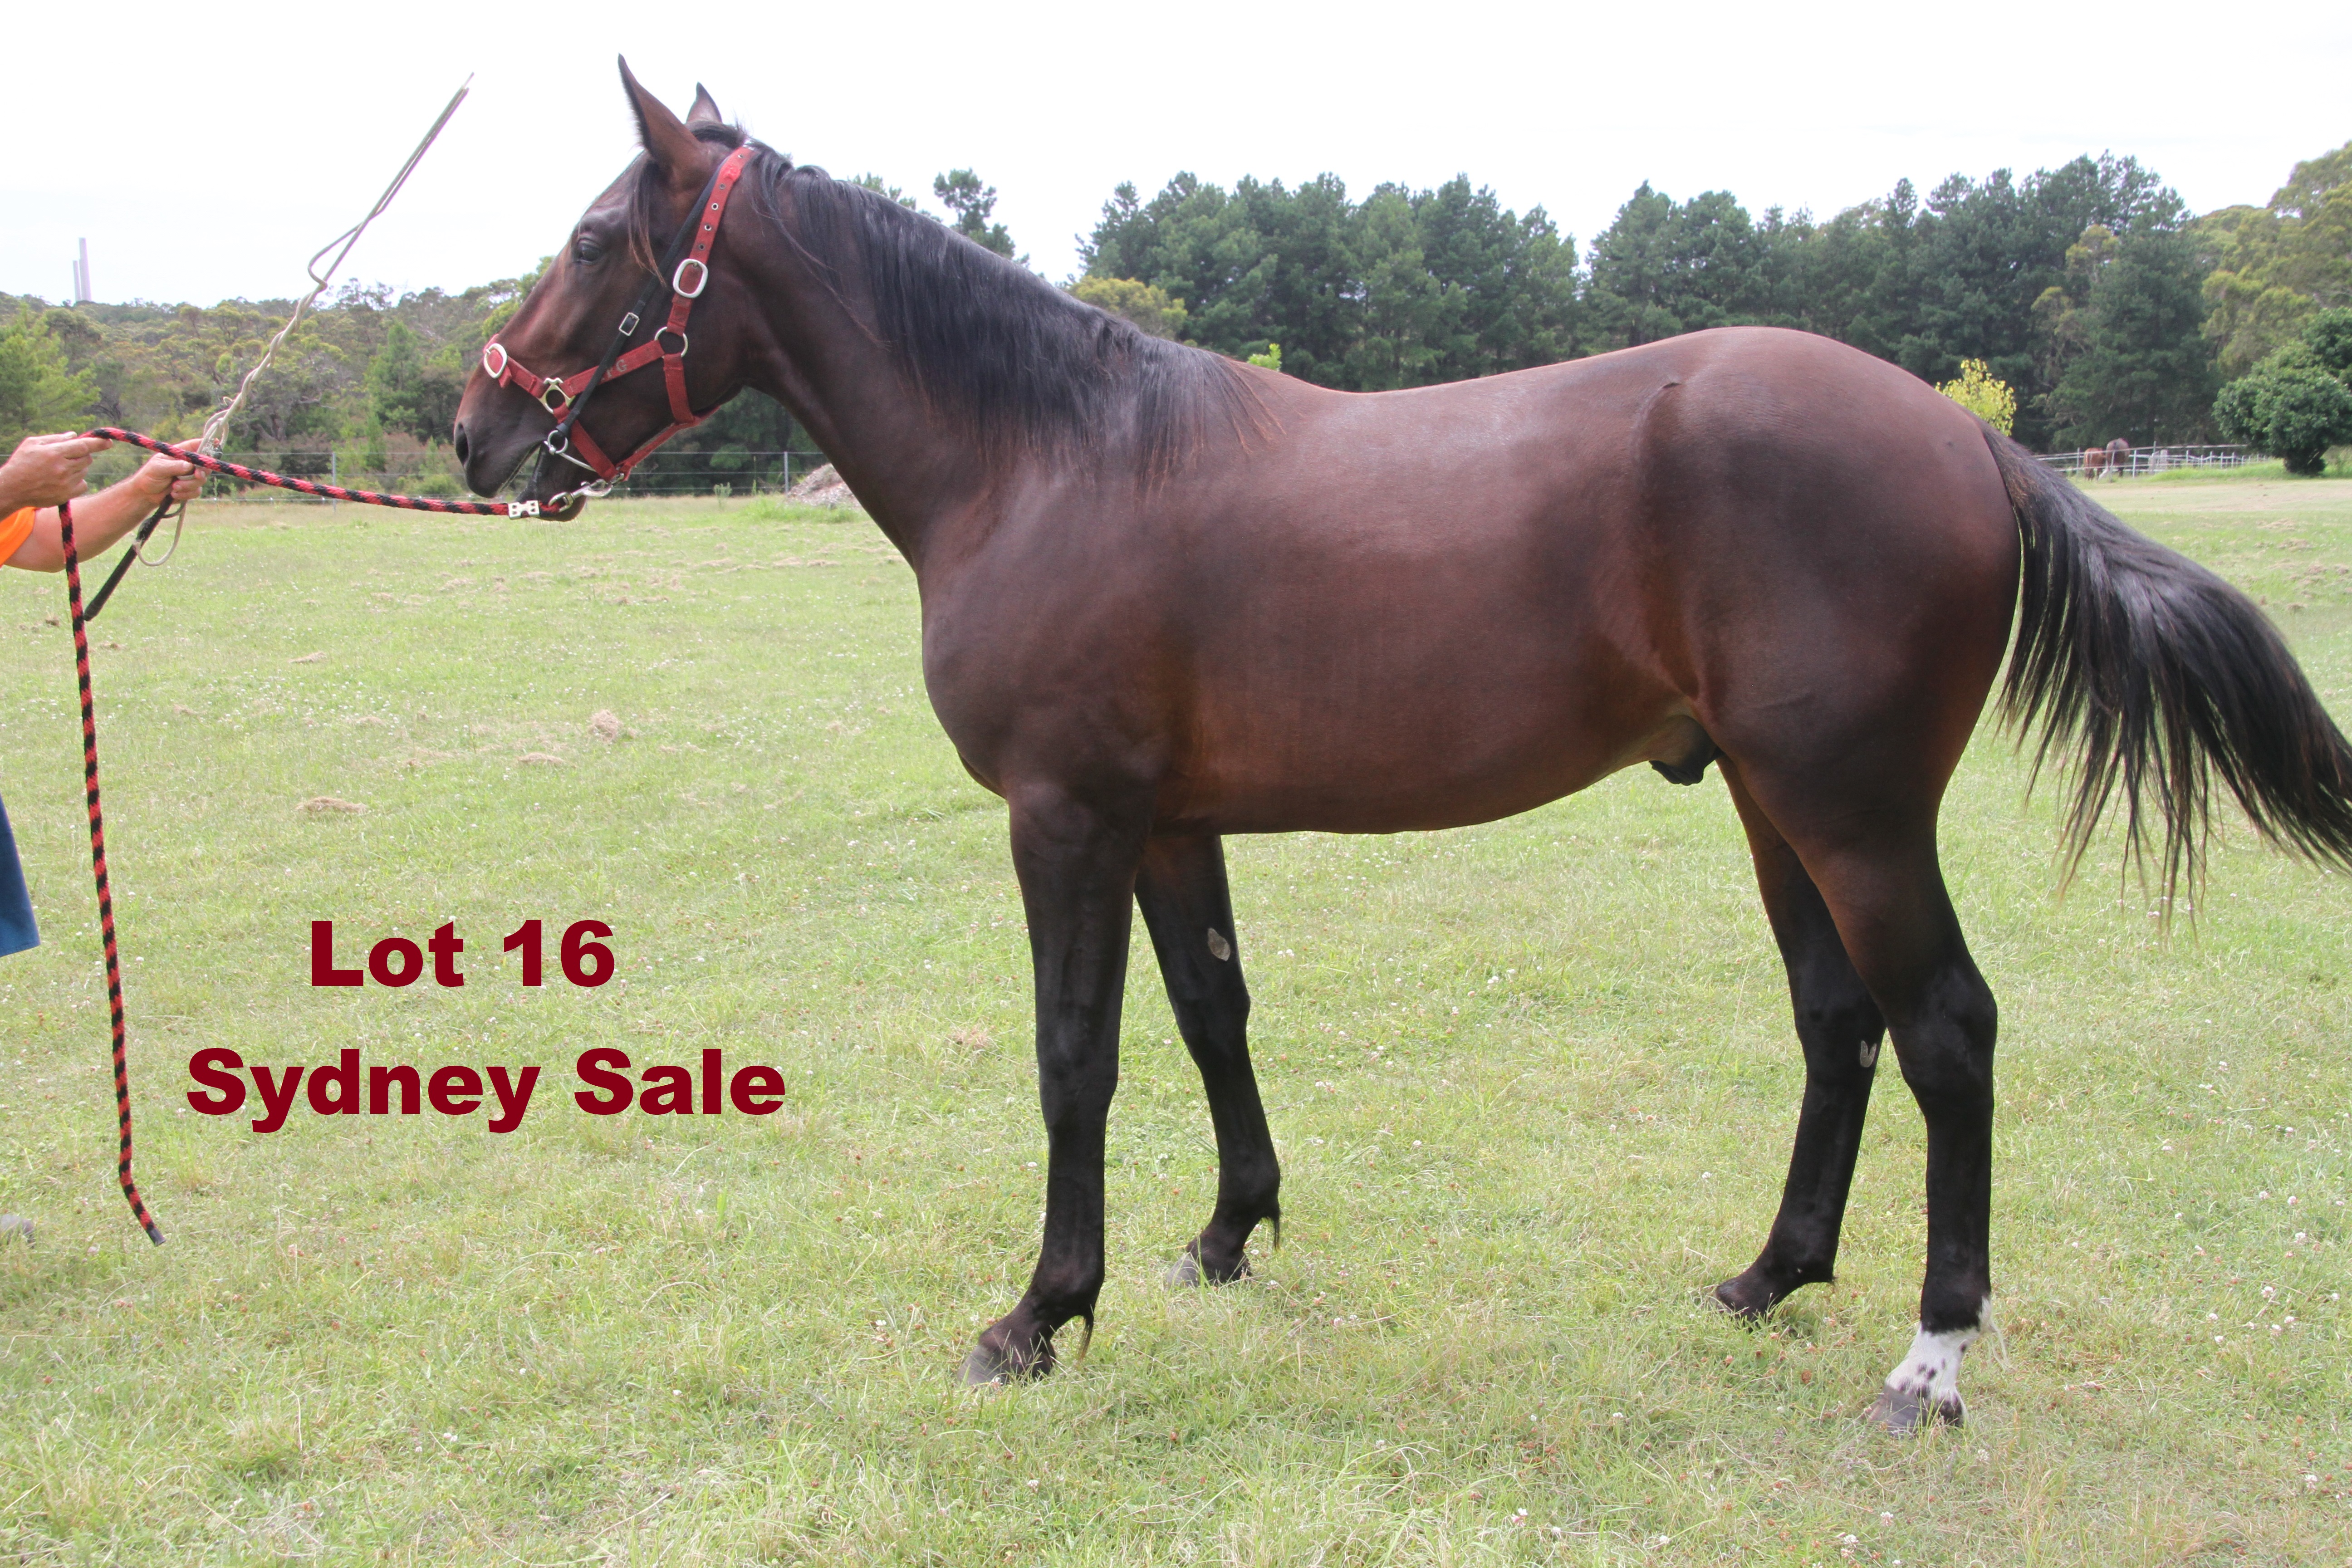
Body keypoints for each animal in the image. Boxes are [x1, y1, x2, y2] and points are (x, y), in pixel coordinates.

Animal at [452, 65, 2352, 1431]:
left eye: (592, 242)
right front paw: (1227, 1235)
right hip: (1772, 805)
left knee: (1947, 1031)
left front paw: (1040, 1313)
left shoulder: (1065, 819)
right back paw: (1767, 1277)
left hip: (1855, 812)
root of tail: (1969, 441)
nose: (475, 429)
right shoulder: (1165, 823)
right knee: (1841, 1024)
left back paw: (1926, 1361)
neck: (1053, 457)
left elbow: (1077, 1058)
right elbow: (1211, 1013)